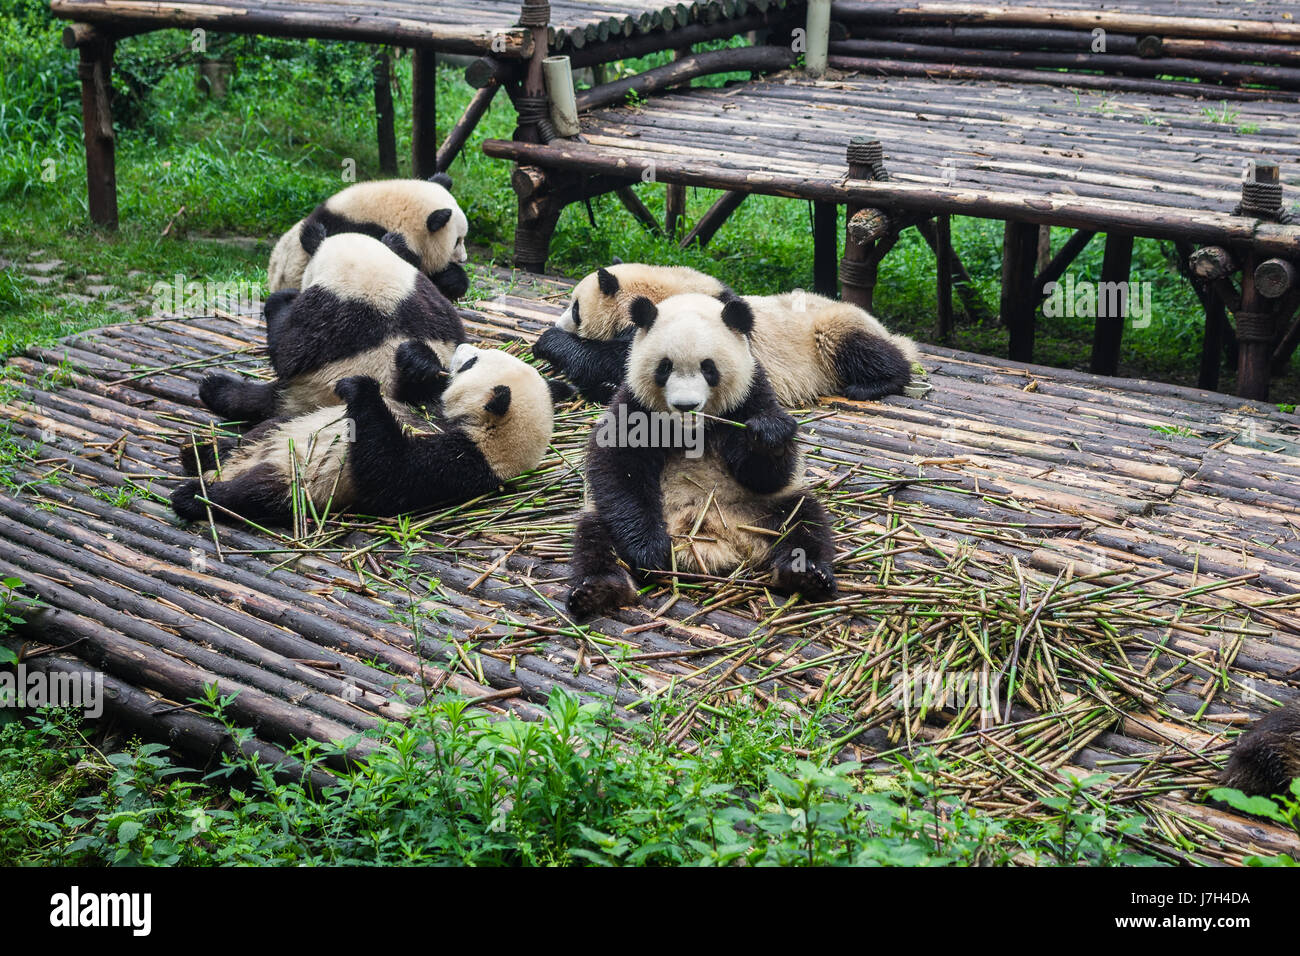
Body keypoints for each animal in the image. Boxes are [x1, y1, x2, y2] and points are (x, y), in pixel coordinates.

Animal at [174, 343, 559, 522]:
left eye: (472, 363)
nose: (462, 350)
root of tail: (233, 468)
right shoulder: (427, 409)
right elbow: (412, 392)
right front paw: (418, 358)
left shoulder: (458, 464)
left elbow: (388, 469)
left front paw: (358, 388)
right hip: (273, 432)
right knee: (259, 430)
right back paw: (199, 449)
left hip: (292, 483)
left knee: (252, 495)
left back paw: (195, 495)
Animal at [200, 230, 465, 424]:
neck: (363, 264)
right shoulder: (429, 298)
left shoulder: (319, 312)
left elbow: (286, 352)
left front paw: (281, 299)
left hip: (303, 395)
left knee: (256, 400)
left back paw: (214, 387)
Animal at [527, 261, 915, 408]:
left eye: (576, 307)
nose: (560, 323)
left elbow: (618, 363)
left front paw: (549, 343)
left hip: (829, 328)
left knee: (859, 348)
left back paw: (871, 384)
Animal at [566, 293, 832, 621]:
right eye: (664, 367)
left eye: (709, 368)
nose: (686, 406)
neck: (691, 431)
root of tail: (720, 541)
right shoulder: (634, 404)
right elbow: (617, 468)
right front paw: (650, 551)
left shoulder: (750, 396)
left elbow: (768, 474)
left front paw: (767, 435)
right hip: (615, 519)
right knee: (595, 537)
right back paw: (598, 590)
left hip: (761, 511)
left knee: (803, 521)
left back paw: (806, 574)